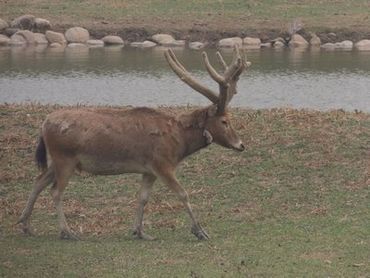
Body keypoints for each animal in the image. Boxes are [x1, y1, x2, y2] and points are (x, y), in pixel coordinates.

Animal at [16, 46, 249, 241]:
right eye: (224, 121)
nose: (241, 145)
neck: (179, 143)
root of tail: (43, 125)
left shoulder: (149, 169)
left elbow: (142, 197)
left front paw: (139, 231)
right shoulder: (162, 163)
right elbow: (182, 193)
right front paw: (200, 231)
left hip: (57, 160)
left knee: (38, 181)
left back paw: (25, 225)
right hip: (65, 158)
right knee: (55, 191)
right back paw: (67, 232)